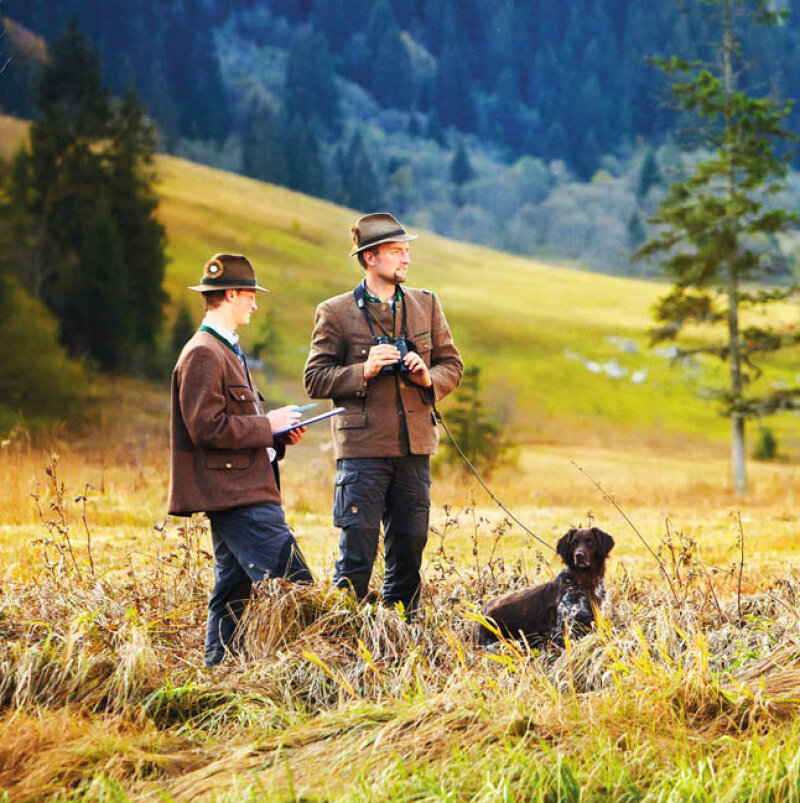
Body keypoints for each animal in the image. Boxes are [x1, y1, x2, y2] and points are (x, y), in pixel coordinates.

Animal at [476, 528, 612, 648]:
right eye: (574, 543)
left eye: (590, 542)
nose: (579, 555)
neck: (585, 583)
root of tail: (484, 609)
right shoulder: (561, 630)